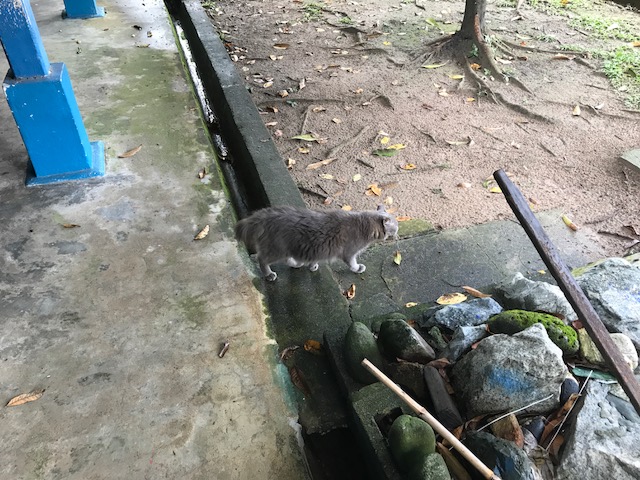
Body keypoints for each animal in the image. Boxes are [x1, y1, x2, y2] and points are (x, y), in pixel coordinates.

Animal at [235, 205, 399, 281]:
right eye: (396, 224)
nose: (398, 228)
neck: (364, 225)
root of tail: (264, 215)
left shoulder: (315, 250)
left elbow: (314, 259)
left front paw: (312, 266)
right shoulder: (349, 252)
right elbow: (352, 263)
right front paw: (358, 268)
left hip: (288, 247)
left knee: (287, 260)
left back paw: (297, 264)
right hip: (277, 249)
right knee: (261, 258)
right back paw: (269, 274)